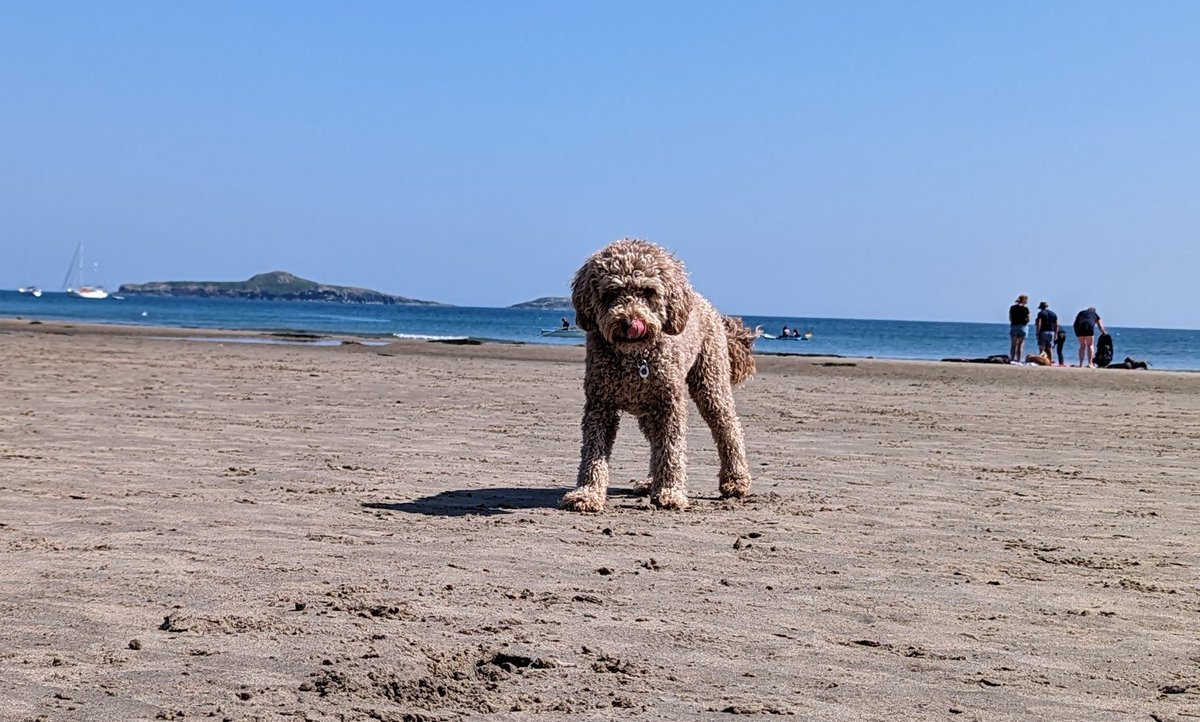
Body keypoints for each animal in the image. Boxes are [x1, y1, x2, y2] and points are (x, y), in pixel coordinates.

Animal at [556, 238, 753, 508]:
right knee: (655, 441)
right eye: (612, 293)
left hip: (710, 381)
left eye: (648, 291)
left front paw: (670, 492)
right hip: (648, 409)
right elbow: (593, 452)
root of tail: (701, 300)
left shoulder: (670, 405)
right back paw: (651, 482)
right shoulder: (600, 405)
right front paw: (587, 493)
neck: (635, 357)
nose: (631, 323)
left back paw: (735, 481)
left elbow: (671, 449)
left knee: (728, 429)